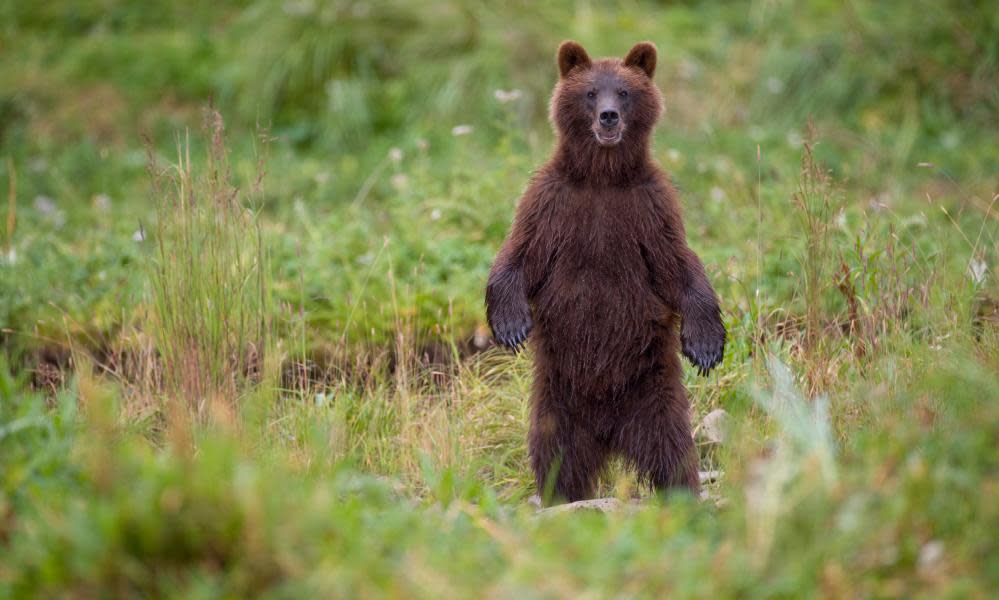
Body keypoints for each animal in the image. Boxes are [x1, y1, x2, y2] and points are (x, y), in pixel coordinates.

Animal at [486, 39, 728, 504]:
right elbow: (519, 255)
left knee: (673, 449)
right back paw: (559, 497)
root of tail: (609, 435)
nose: (609, 116)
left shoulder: (648, 210)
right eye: (591, 92)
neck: (602, 176)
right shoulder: (552, 204)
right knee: (556, 453)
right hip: (557, 399)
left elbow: (679, 268)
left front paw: (706, 344)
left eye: (625, 91)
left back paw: (682, 493)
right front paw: (510, 325)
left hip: (653, 392)